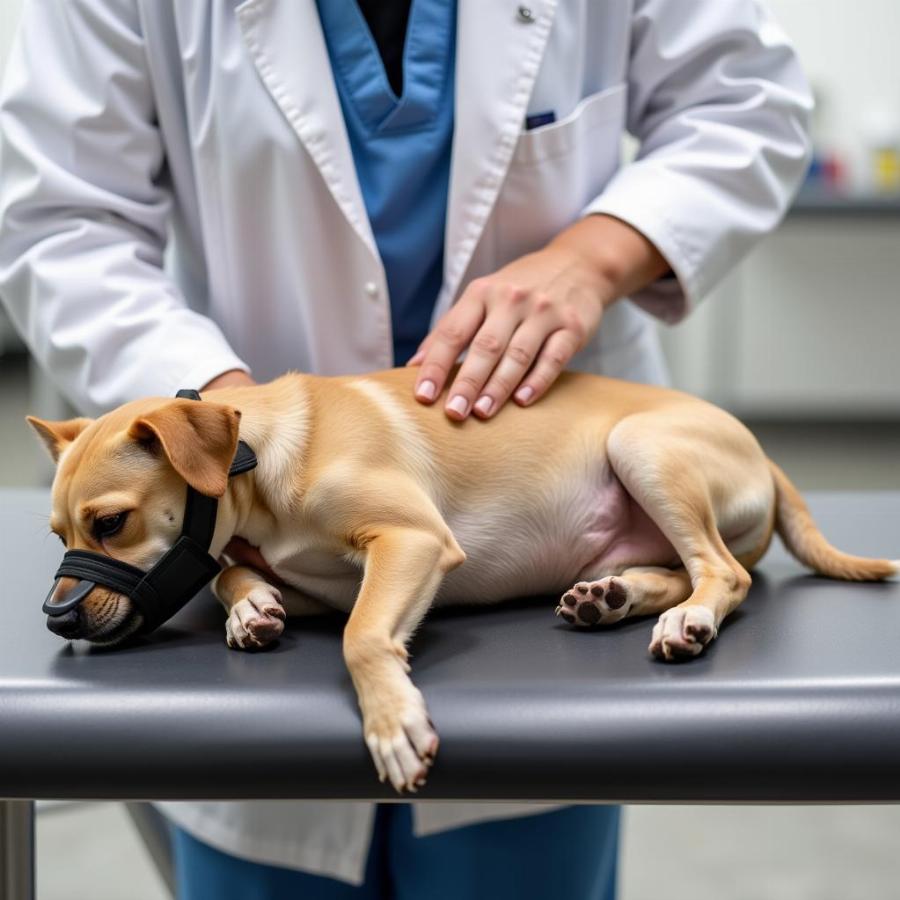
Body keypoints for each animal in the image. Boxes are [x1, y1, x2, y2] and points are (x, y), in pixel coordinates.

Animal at [29, 370, 900, 792]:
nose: (54, 620)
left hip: (642, 446)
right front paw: (252, 608)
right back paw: (612, 598)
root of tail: (763, 453)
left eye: (111, 524)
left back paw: (686, 622)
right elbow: (230, 574)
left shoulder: (413, 543)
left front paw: (392, 724)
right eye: (58, 535)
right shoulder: (317, 575)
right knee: (679, 571)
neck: (258, 456)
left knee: (722, 572)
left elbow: (362, 637)